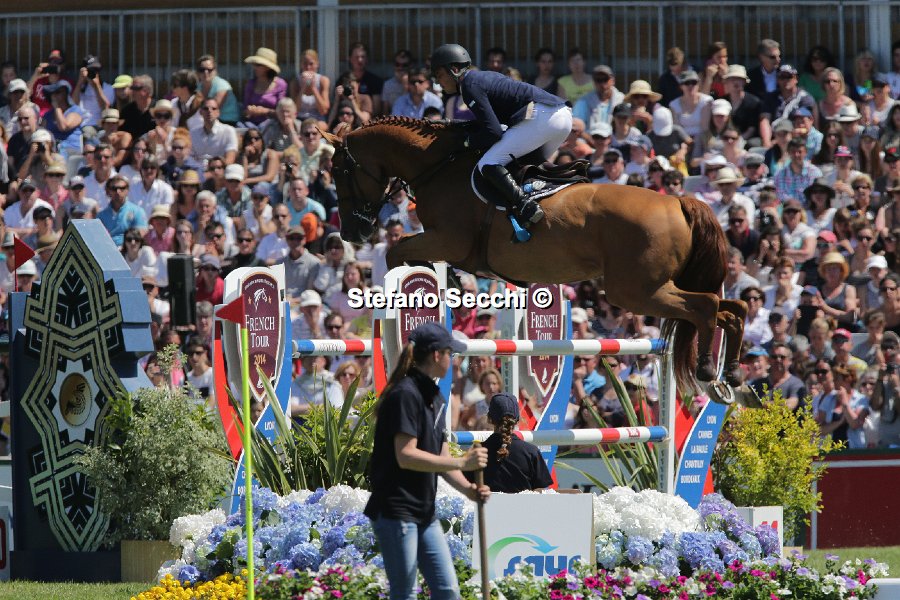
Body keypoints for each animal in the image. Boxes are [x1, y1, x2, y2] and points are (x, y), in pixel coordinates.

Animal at [323, 117, 747, 396]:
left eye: (339, 170)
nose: (351, 233)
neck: (438, 167)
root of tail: (678, 201)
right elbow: (409, 255)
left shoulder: (448, 241)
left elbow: (399, 251)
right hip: (655, 287)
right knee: (732, 308)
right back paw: (732, 374)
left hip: (636, 291)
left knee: (706, 306)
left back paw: (708, 371)